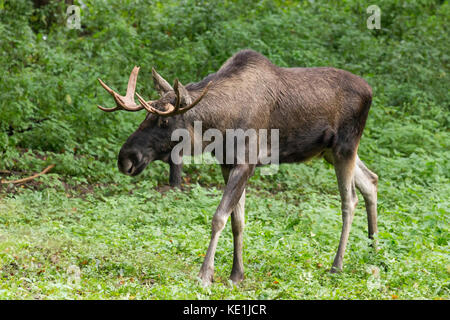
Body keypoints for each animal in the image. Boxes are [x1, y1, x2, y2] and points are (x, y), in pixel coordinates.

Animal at [96, 50, 378, 288]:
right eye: (145, 116)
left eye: (164, 121)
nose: (126, 158)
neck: (218, 126)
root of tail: (371, 90)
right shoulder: (226, 164)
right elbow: (237, 221)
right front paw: (236, 274)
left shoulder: (246, 162)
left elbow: (219, 217)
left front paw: (204, 274)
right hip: (330, 151)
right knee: (371, 180)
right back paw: (374, 250)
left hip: (345, 146)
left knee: (349, 200)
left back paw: (337, 265)